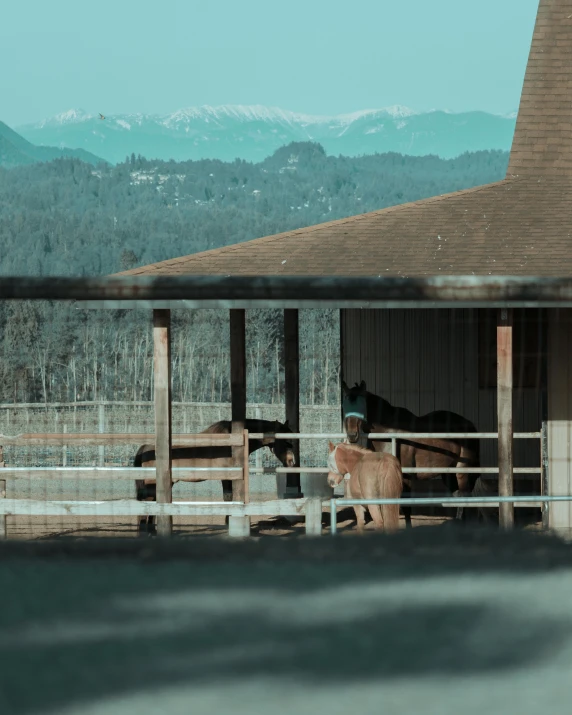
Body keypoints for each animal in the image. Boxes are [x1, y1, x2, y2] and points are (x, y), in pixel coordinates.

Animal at [134, 416, 294, 536]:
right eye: (285, 441)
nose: (292, 462)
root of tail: (145, 448)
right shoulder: (227, 476)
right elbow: (228, 497)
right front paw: (228, 522)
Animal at [340, 380, 492, 524]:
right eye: (345, 405)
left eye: (362, 404)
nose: (352, 435)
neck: (387, 432)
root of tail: (470, 425)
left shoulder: (405, 476)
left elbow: (405, 507)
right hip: (448, 473)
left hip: (462, 470)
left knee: (463, 496)